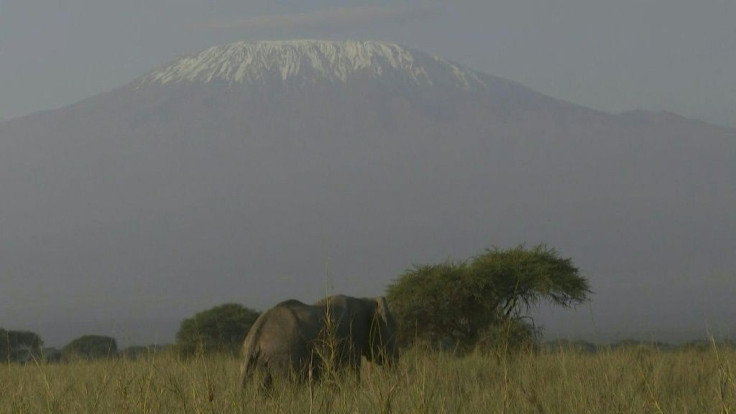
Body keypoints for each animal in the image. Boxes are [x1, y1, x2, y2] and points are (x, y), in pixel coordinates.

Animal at [240, 294, 396, 388]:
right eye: (392, 329)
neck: (366, 300)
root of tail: (255, 334)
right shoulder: (349, 337)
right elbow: (349, 372)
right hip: (283, 356)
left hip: (262, 360)